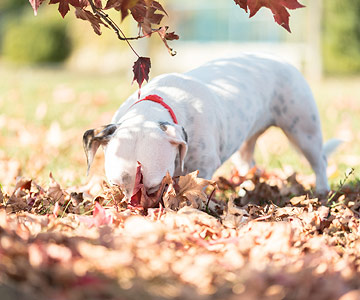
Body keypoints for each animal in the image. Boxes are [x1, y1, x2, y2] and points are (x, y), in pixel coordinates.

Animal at [83, 53, 338, 199]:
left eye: (153, 187)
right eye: (115, 186)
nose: (133, 209)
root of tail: (283, 60)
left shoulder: (203, 168)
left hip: (303, 130)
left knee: (320, 160)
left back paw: (322, 189)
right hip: (246, 141)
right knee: (248, 163)